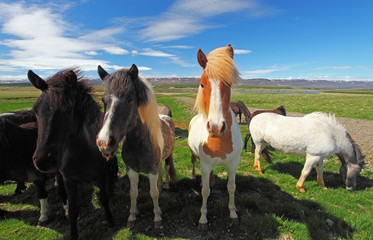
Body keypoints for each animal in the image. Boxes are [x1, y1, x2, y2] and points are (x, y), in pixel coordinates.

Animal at [27, 68, 115, 239]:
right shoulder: (68, 180)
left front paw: (110, 220)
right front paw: (73, 233)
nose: (42, 160)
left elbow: (104, 198)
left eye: (68, 110)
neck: (81, 154)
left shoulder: (100, 174)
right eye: (35, 110)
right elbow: (73, 209)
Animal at [96, 63, 177, 227]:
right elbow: (133, 193)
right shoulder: (131, 170)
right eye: (103, 100)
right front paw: (132, 216)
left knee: (165, 169)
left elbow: (153, 193)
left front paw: (157, 217)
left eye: (129, 99)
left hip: (167, 156)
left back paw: (165, 185)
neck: (140, 144)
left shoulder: (151, 170)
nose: (104, 142)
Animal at [187, 45, 243, 227]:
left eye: (230, 84)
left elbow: (231, 187)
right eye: (202, 84)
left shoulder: (233, 164)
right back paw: (193, 176)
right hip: (194, 155)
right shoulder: (204, 165)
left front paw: (233, 213)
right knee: (193, 163)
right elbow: (205, 191)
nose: (217, 128)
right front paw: (203, 218)